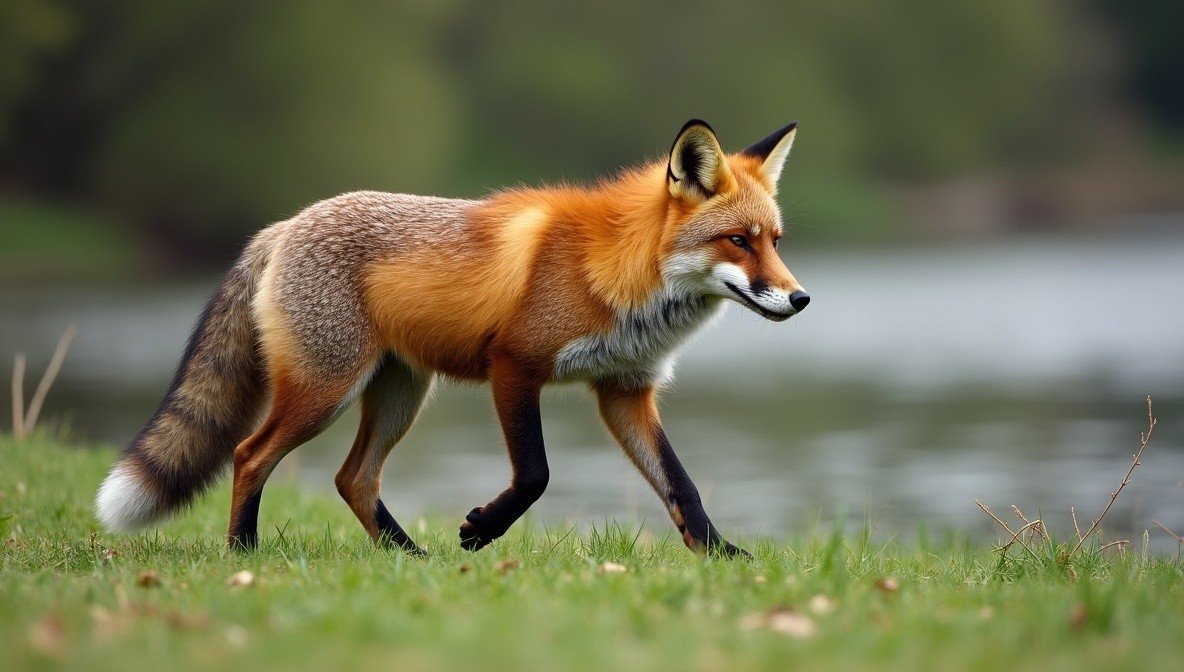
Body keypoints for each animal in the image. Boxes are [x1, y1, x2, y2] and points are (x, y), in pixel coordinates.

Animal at [95, 119, 809, 557]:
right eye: (737, 241)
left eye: (775, 241)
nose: (800, 299)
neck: (613, 271)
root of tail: (286, 223)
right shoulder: (515, 366)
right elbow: (536, 474)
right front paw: (483, 531)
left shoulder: (625, 391)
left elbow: (680, 485)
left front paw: (723, 557)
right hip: (325, 390)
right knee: (249, 456)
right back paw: (244, 554)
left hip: (399, 395)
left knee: (353, 479)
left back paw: (410, 559)